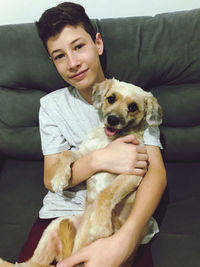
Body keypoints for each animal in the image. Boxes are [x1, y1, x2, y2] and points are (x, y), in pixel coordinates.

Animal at [0, 78, 162, 266]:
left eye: (133, 107)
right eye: (111, 98)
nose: (112, 119)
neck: (108, 140)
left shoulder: (133, 172)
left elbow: (107, 192)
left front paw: (100, 223)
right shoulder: (86, 155)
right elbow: (65, 153)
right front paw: (59, 178)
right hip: (53, 228)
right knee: (28, 263)